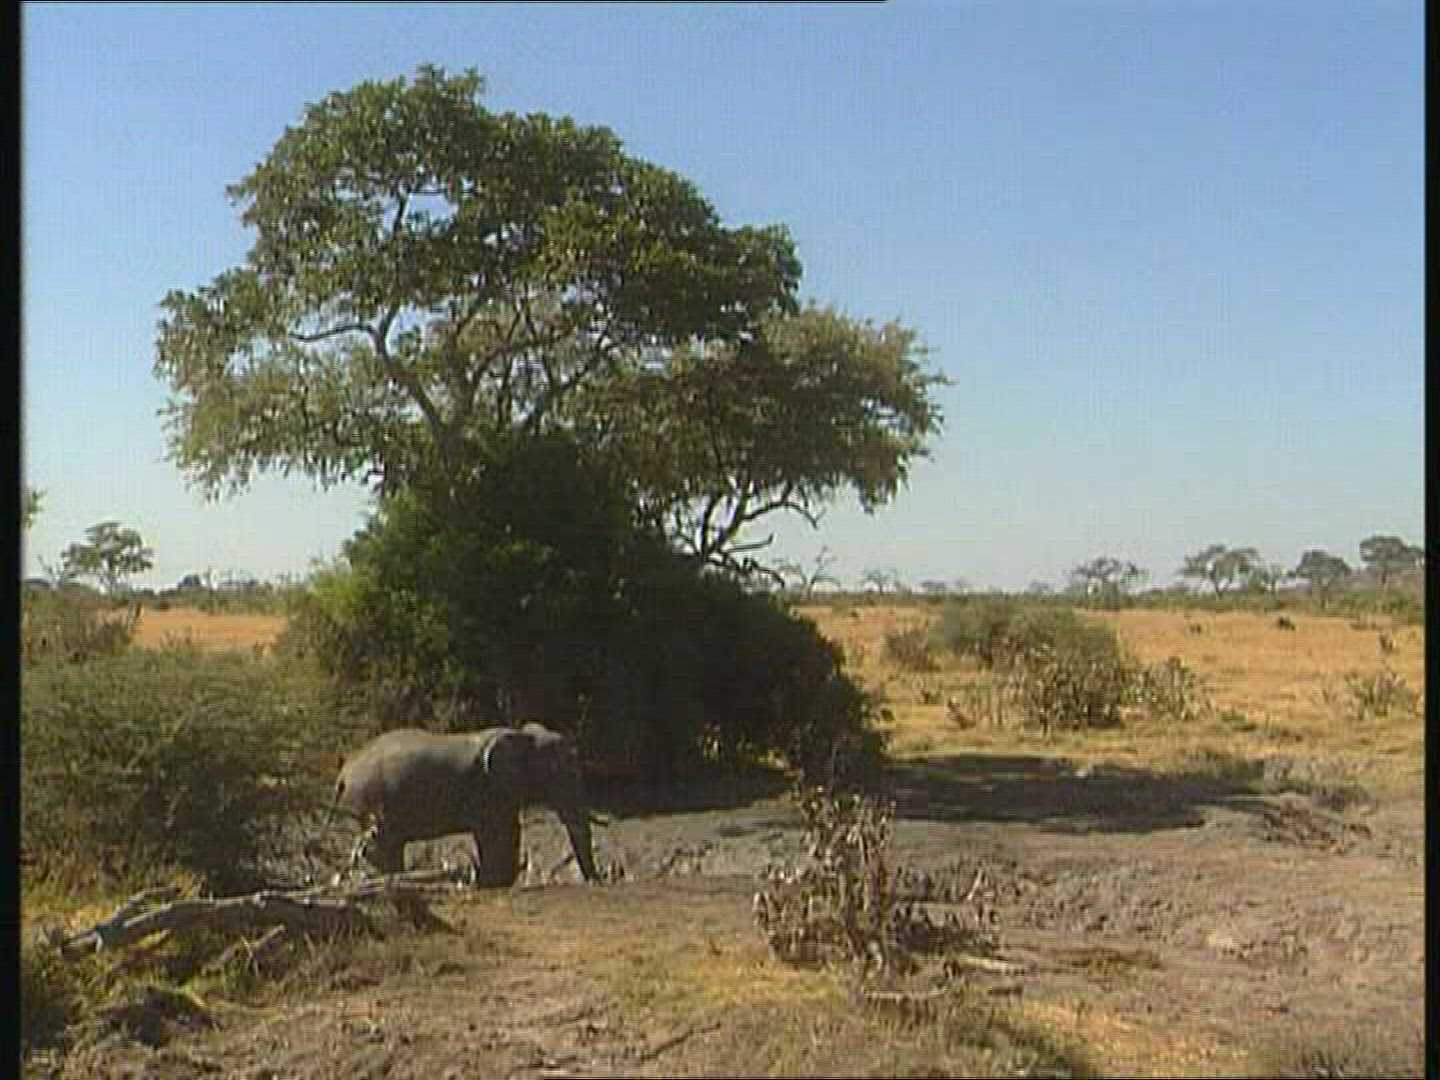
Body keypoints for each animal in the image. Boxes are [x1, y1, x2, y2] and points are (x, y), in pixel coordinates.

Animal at [332, 722, 599, 886]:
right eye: (556, 772)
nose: (595, 881)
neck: (524, 735)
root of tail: (344, 771)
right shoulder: (486, 788)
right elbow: (495, 832)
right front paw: (494, 883)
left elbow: (510, 830)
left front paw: (498, 882)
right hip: (371, 798)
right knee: (382, 842)